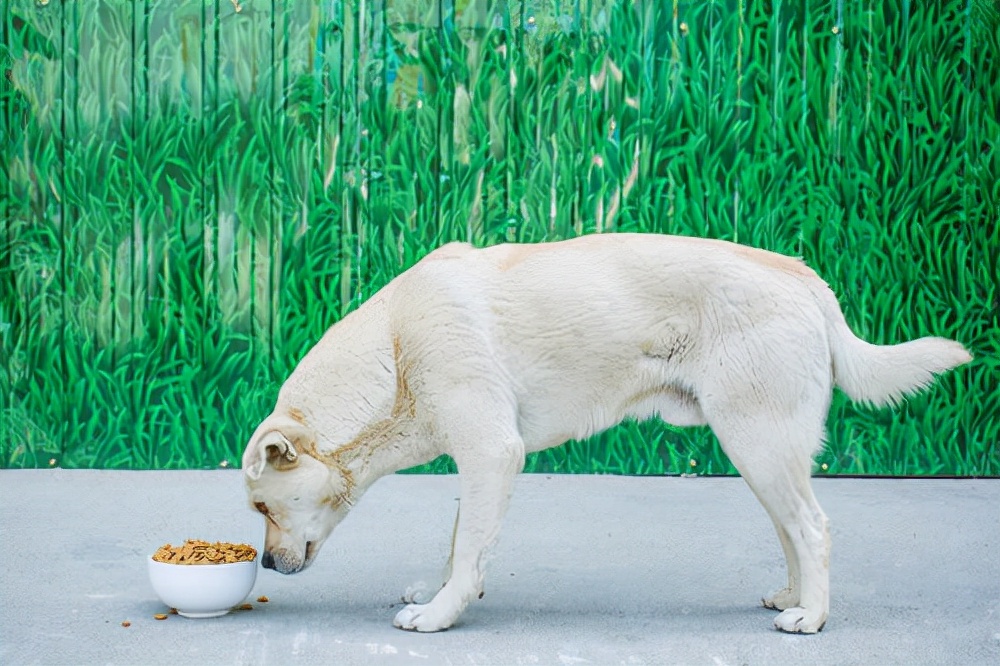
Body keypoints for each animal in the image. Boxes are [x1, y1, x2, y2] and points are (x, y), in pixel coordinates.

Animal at [240, 233, 968, 632]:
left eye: (261, 507)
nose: (268, 565)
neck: (393, 352)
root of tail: (805, 276)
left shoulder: (491, 453)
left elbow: (470, 544)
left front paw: (442, 614)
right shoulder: (480, 464)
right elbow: (460, 541)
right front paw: (449, 590)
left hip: (757, 444)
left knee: (813, 529)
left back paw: (811, 619)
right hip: (762, 452)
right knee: (793, 529)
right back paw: (794, 597)